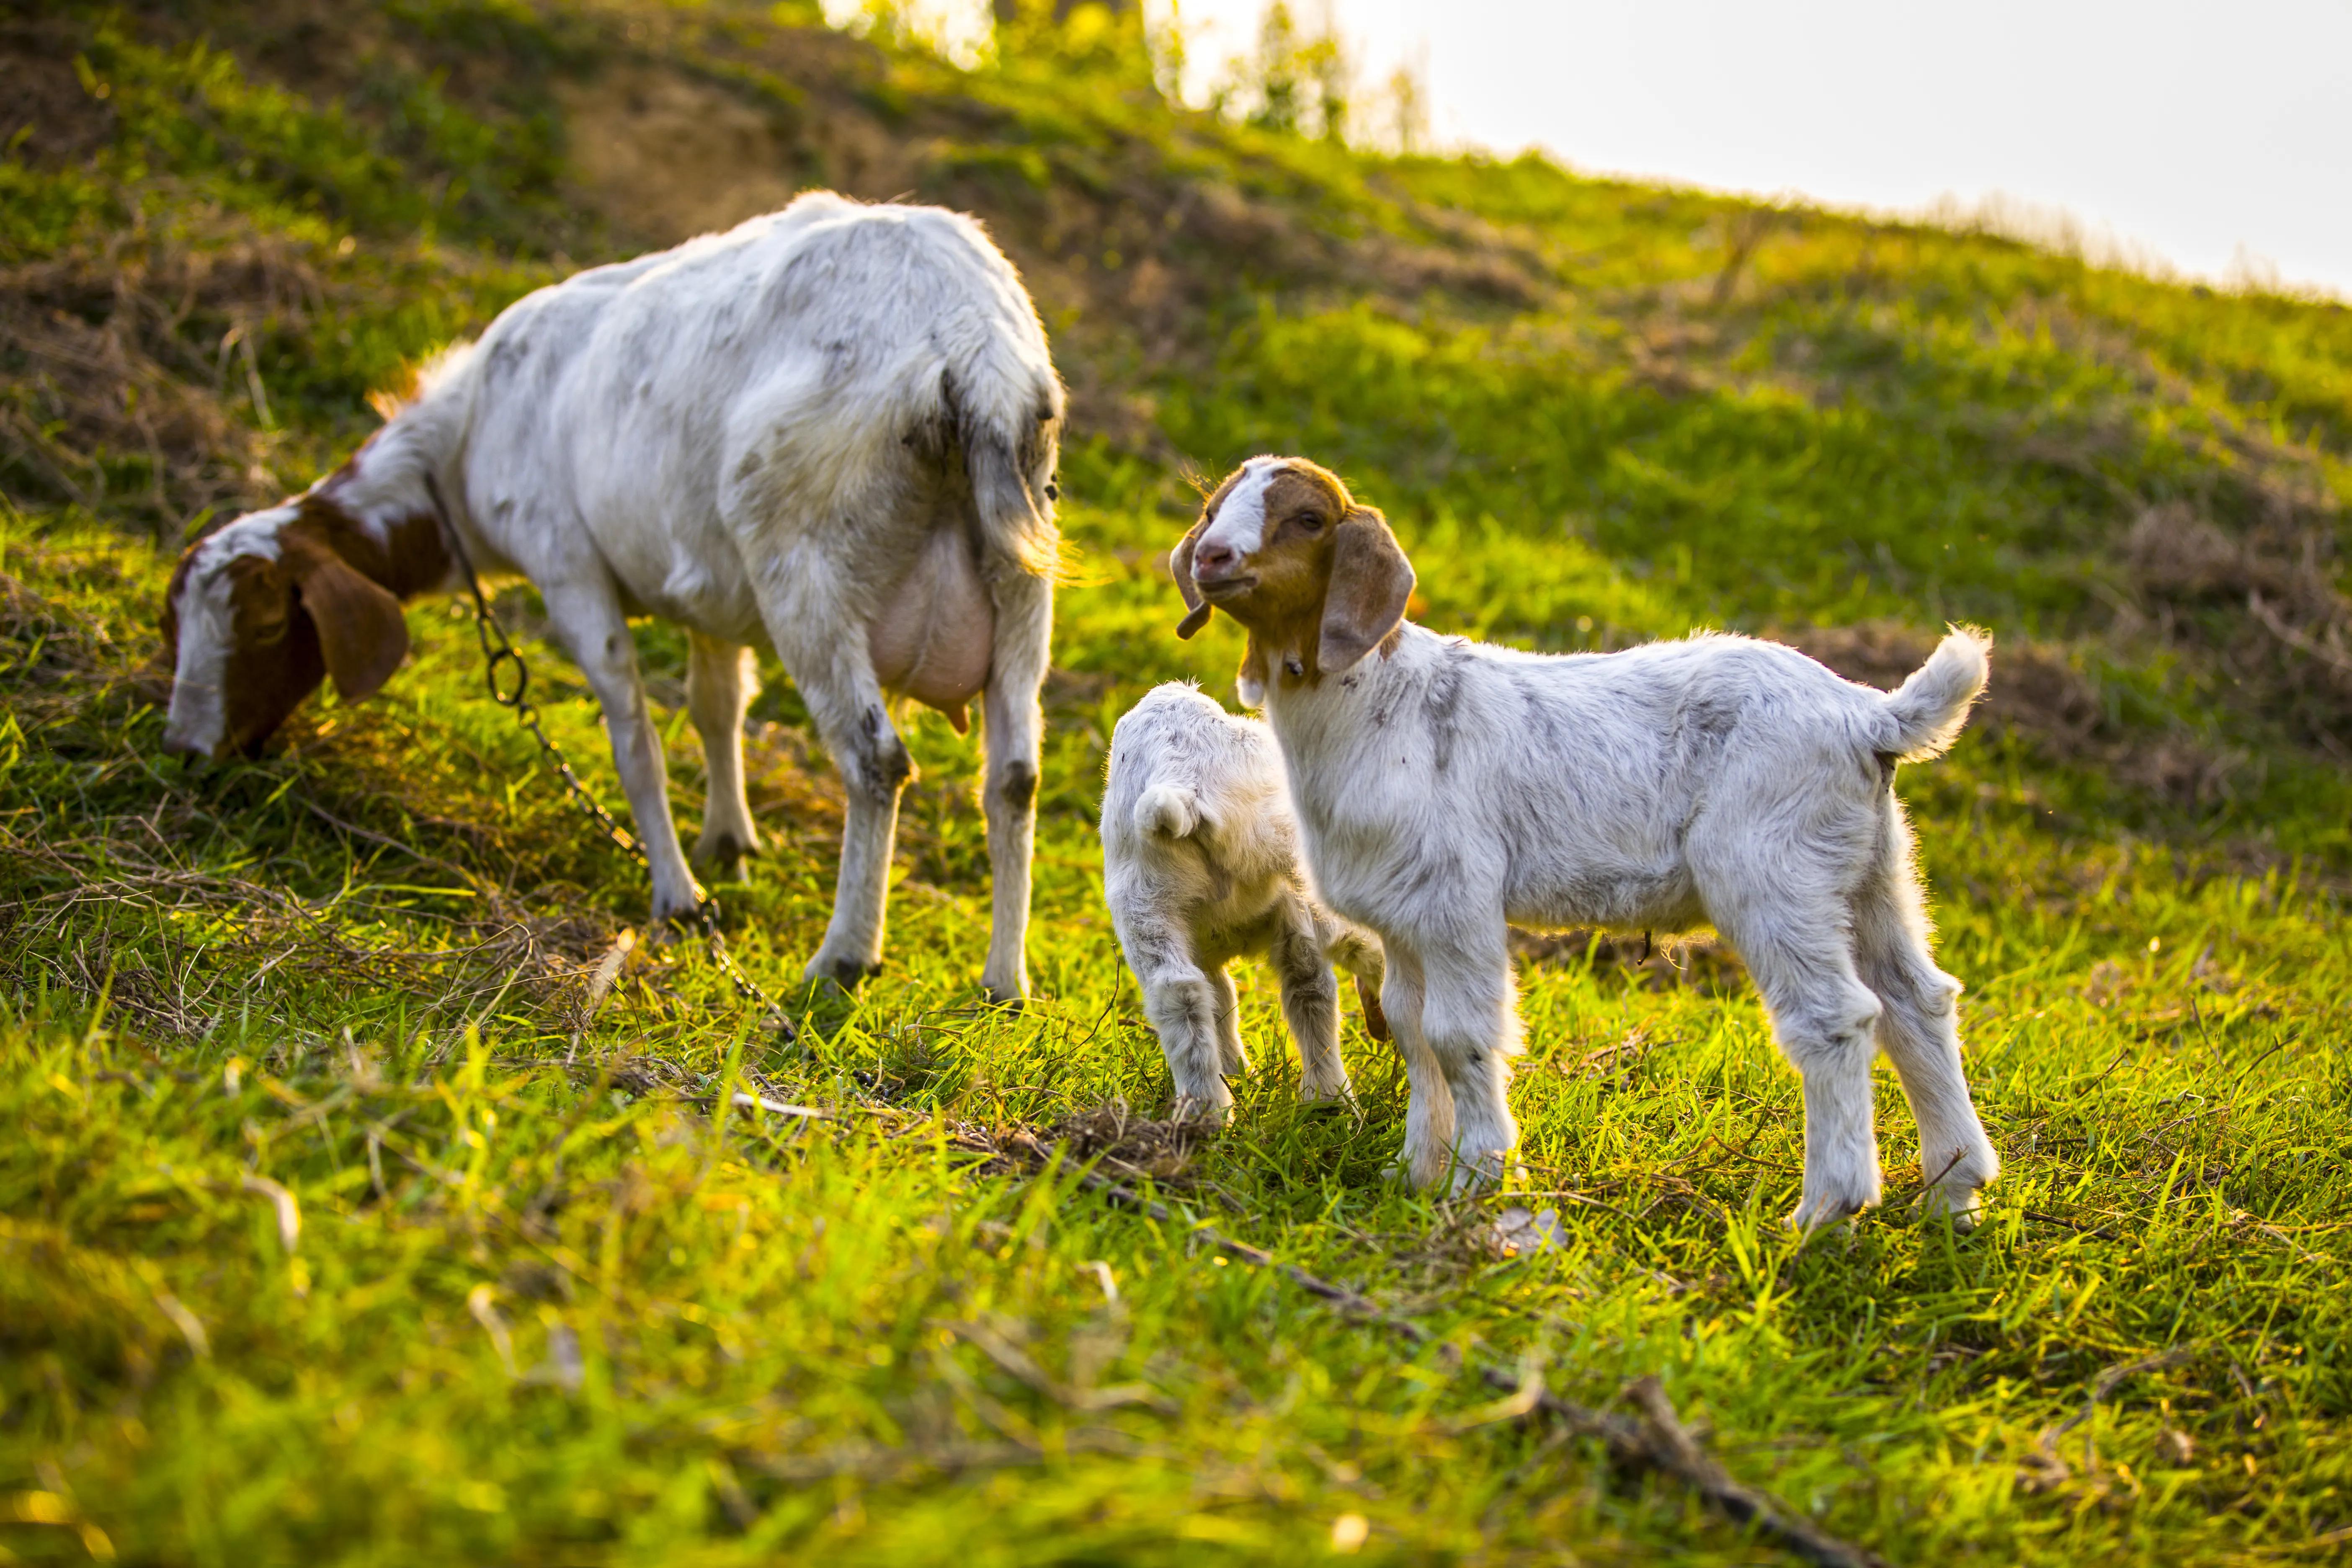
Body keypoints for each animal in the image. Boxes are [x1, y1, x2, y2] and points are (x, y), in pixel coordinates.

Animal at [168, 196, 1077, 1001]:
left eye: (265, 623)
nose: (184, 749)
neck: (457, 448)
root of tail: (969, 341)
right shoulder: (714, 591)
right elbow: (717, 708)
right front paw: (729, 843)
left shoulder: (568, 566)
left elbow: (634, 739)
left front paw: (678, 895)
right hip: (1020, 586)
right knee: (1015, 777)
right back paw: (1004, 982)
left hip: (804, 565)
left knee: (876, 760)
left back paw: (842, 958)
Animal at [1096, 681, 1373, 1114]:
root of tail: (1182, 779)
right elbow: (1298, 989)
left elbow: (1226, 1002)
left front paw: (1238, 1075)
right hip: (1284, 845)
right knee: (1343, 951)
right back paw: (1332, 1101)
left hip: (1143, 900)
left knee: (1178, 991)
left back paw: (1203, 1111)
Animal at [1166, 454, 1994, 1222]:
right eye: (1210, 508)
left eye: (1308, 519)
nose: (1213, 557)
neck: (1373, 699)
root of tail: (1868, 716)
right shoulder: (1403, 915)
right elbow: (1410, 1029)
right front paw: (1414, 1175)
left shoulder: (1456, 899)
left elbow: (1459, 1034)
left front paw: (1478, 1179)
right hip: (1869, 869)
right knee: (1916, 1000)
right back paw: (1953, 1194)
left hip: (1774, 870)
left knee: (1835, 1018)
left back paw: (1827, 1210)